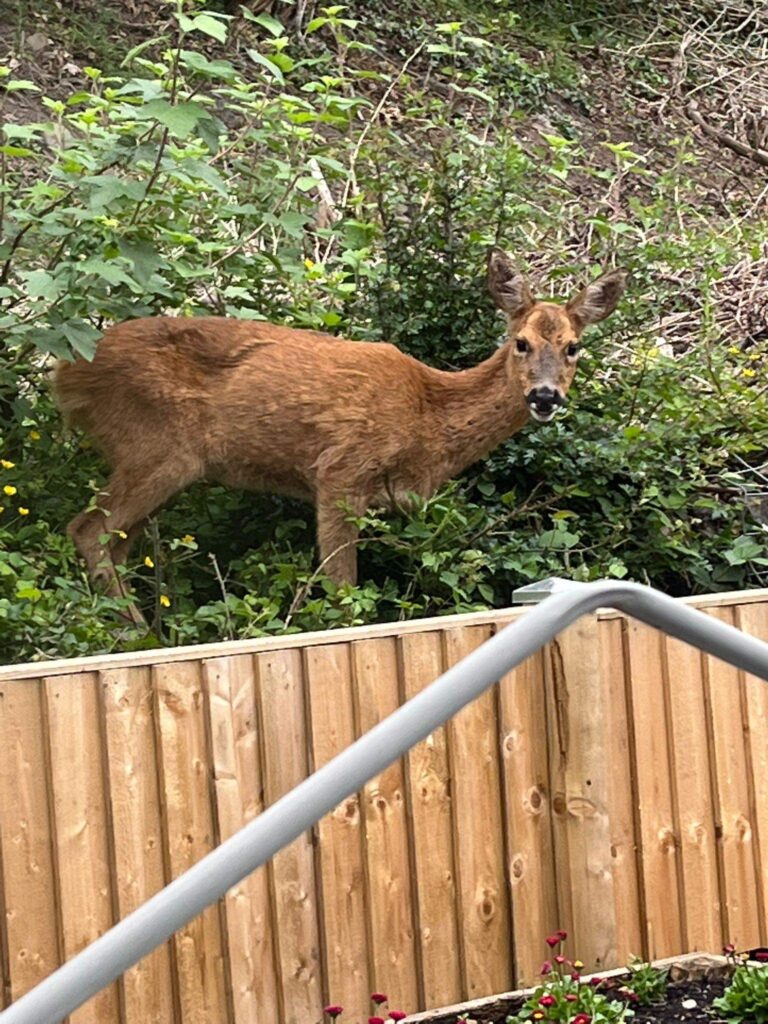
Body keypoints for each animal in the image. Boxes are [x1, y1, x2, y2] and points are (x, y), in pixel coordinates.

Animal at [54, 249, 627, 623]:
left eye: (573, 347)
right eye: (521, 342)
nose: (545, 396)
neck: (428, 420)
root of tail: (67, 371)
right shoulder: (340, 472)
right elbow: (342, 588)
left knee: (115, 543)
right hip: (156, 445)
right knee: (88, 529)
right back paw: (134, 632)